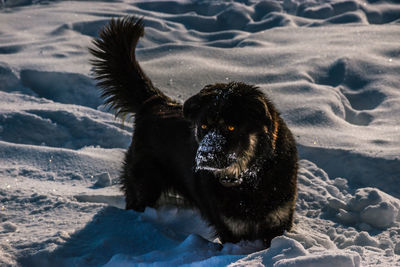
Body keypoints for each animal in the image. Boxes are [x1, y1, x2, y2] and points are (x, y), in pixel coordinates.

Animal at [90, 16, 296, 247]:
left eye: (231, 127)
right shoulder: (230, 231)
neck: (249, 179)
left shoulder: (279, 222)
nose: (205, 157)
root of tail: (154, 102)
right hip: (144, 186)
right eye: (203, 127)